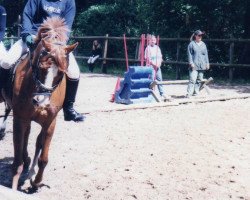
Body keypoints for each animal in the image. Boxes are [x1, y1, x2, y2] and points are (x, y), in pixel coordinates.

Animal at [0, 17, 78, 189]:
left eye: (61, 73)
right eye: (40, 67)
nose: (41, 102)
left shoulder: (50, 122)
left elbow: (43, 157)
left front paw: (36, 181)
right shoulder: (19, 118)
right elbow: (17, 159)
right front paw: (14, 185)